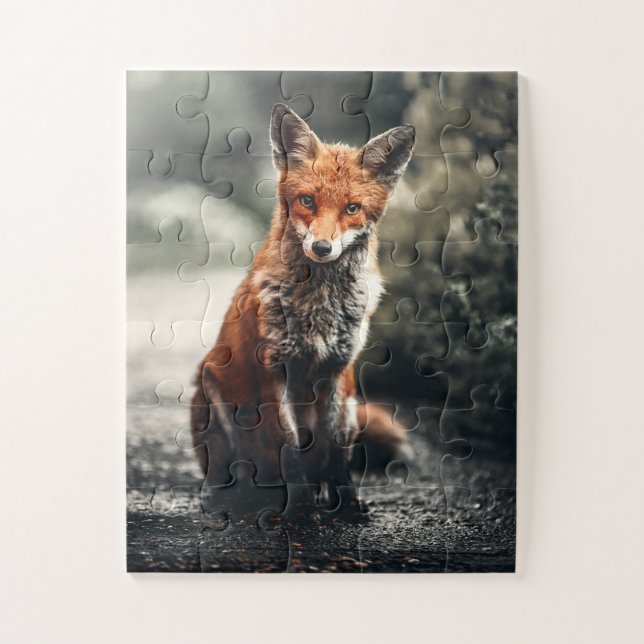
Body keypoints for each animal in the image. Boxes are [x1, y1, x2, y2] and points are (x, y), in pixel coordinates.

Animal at [190, 103, 415, 518]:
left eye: (352, 208)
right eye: (307, 201)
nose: (323, 248)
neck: (319, 308)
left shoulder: (338, 372)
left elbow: (336, 451)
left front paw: (345, 506)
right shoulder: (274, 371)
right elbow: (290, 446)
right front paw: (300, 511)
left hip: (352, 403)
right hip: (210, 387)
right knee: (226, 468)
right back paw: (228, 495)